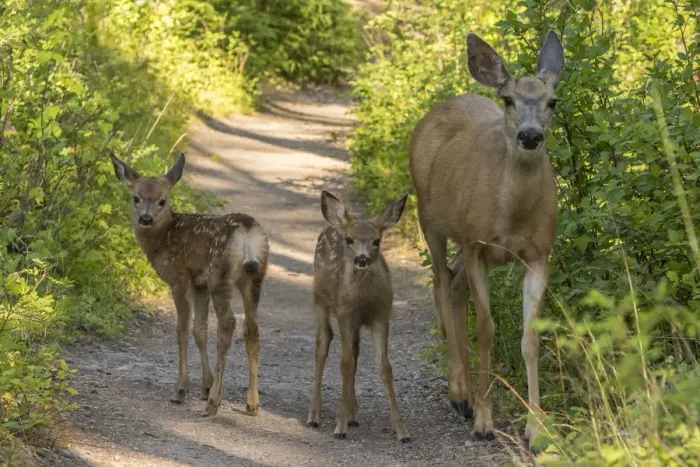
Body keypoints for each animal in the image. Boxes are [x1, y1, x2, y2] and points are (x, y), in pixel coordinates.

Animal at [110, 152, 269, 418]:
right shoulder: (199, 284)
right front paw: (205, 385)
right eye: (136, 197)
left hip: (220, 276)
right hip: (254, 278)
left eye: (162, 200)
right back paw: (252, 402)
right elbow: (199, 330)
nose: (145, 219)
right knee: (252, 328)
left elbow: (182, 329)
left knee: (228, 323)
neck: (163, 239)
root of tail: (247, 232)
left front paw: (181, 390)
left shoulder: (180, 278)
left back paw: (214, 402)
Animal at [306, 190, 411, 443]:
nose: (361, 259)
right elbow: (344, 363)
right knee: (323, 344)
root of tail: (333, 224)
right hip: (320, 299)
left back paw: (353, 414)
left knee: (354, 352)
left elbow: (384, 367)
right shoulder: (345, 313)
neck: (365, 300)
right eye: (350, 240)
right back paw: (314, 416)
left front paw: (402, 431)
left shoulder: (381, 316)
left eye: (377, 241)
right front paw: (339, 426)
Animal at [408, 31, 564, 450]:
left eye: (553, 101)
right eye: (508, 99)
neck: (512, 216)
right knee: (440, 281)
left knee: (454, 282)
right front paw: (483, 420)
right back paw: (459, 392)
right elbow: (486, 331)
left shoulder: (539, 253)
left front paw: (537, 428)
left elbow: (531, 338)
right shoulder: (479, 246)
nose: (530, 135)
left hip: (463, 238)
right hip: (430, 218)